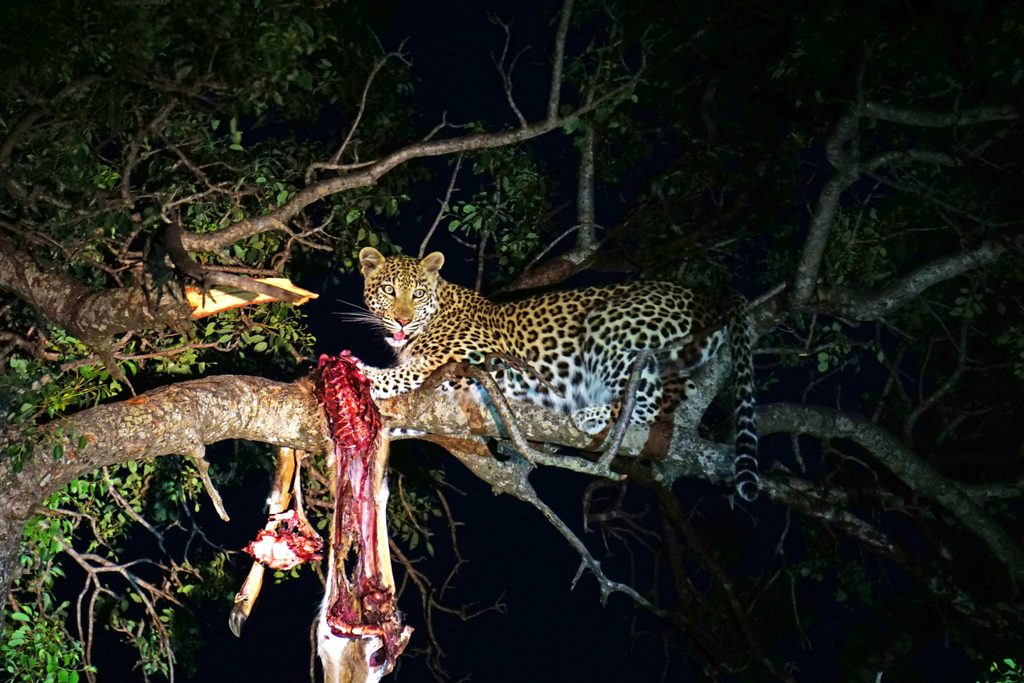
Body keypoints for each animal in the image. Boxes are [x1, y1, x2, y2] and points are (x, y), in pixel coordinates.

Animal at [353, 247, 759, 501]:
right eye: (388, 290)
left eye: (418, 294)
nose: (402, 320)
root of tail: (698, 294)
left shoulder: (477, 357)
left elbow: (413, 371)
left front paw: (368, 374)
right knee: (681, 388)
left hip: (607, 324)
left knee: (651, 399)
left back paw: (589, 414)